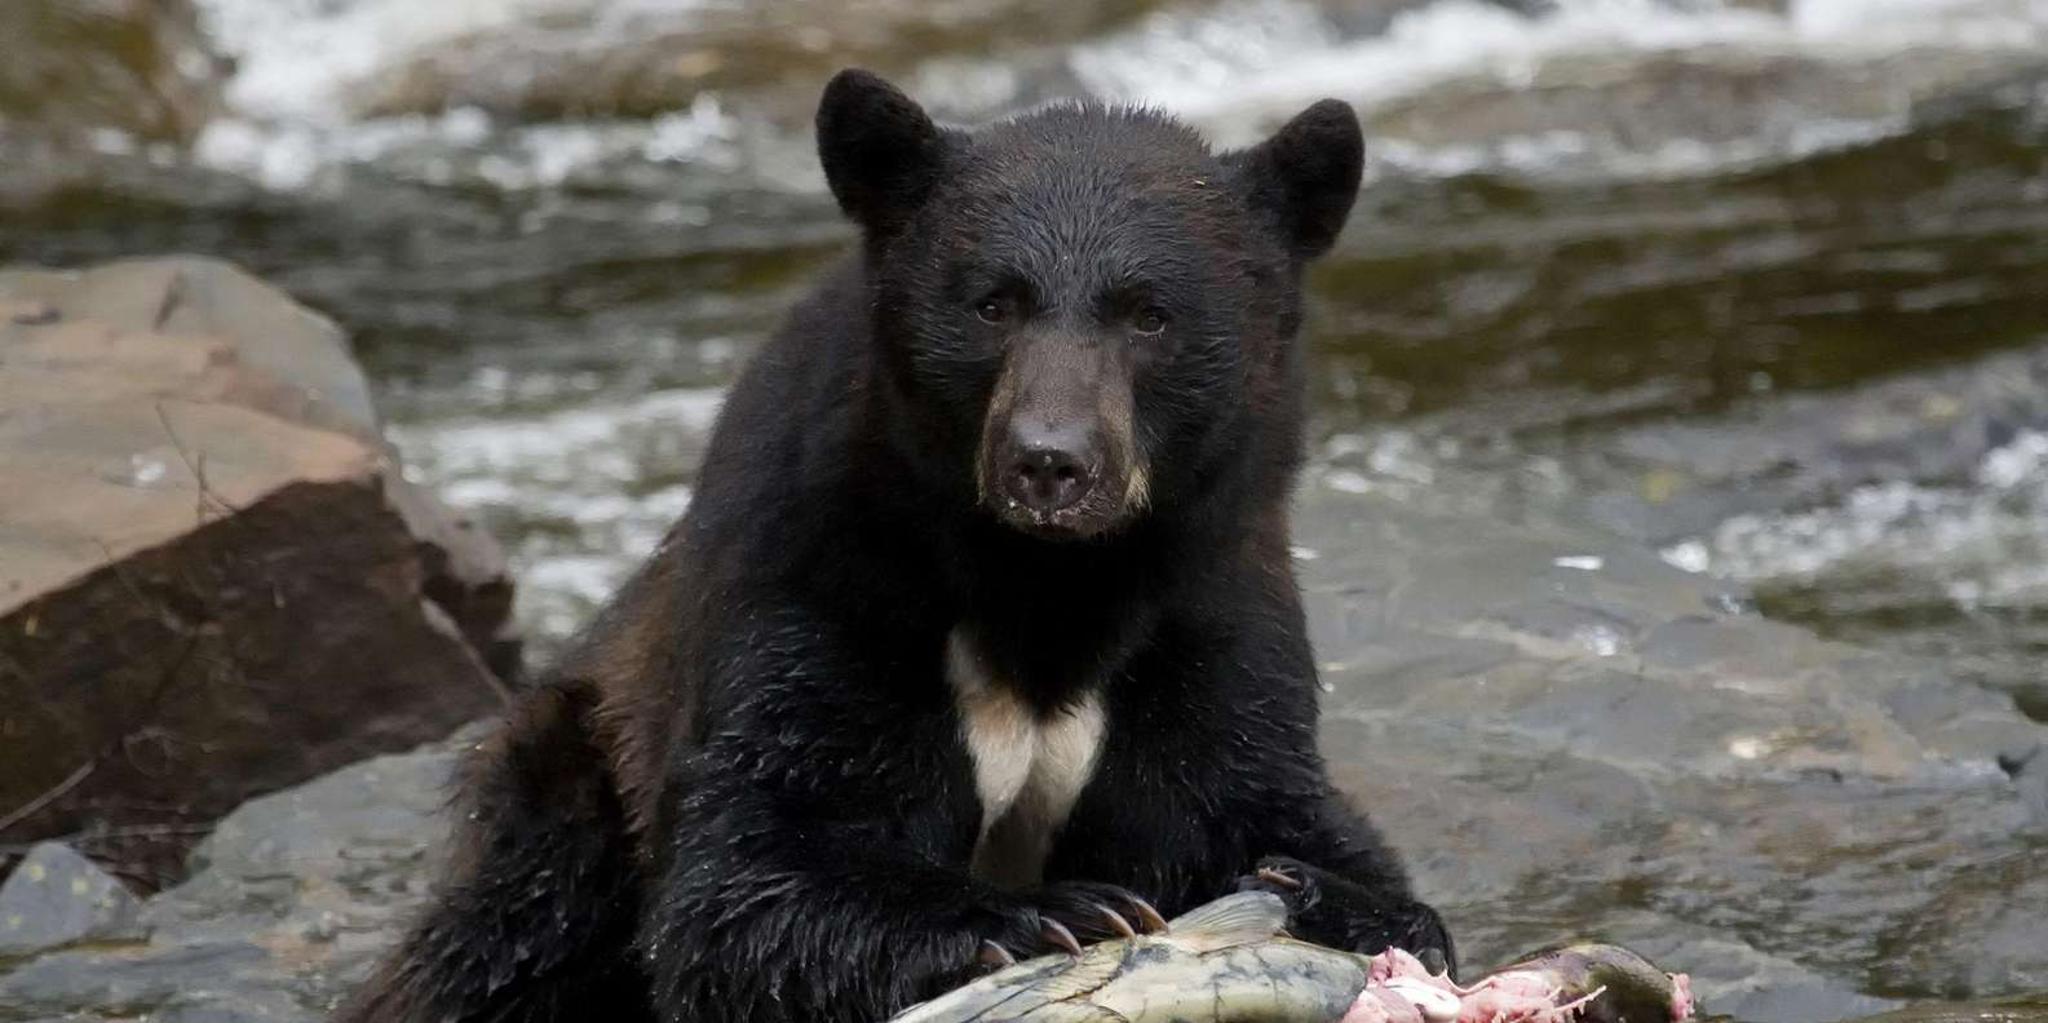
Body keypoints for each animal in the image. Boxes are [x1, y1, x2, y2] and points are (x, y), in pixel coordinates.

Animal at [338, 68, 1453, 1023]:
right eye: (994, 301)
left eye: (1149, 313)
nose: (1050, 462)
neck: (1047, 586)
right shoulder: (823, 578)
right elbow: (753, 869)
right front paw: (1050, 913)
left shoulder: (1208, 603)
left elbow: (1259, 792)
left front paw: (1325, 891)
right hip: (568, 775)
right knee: (510, 933)